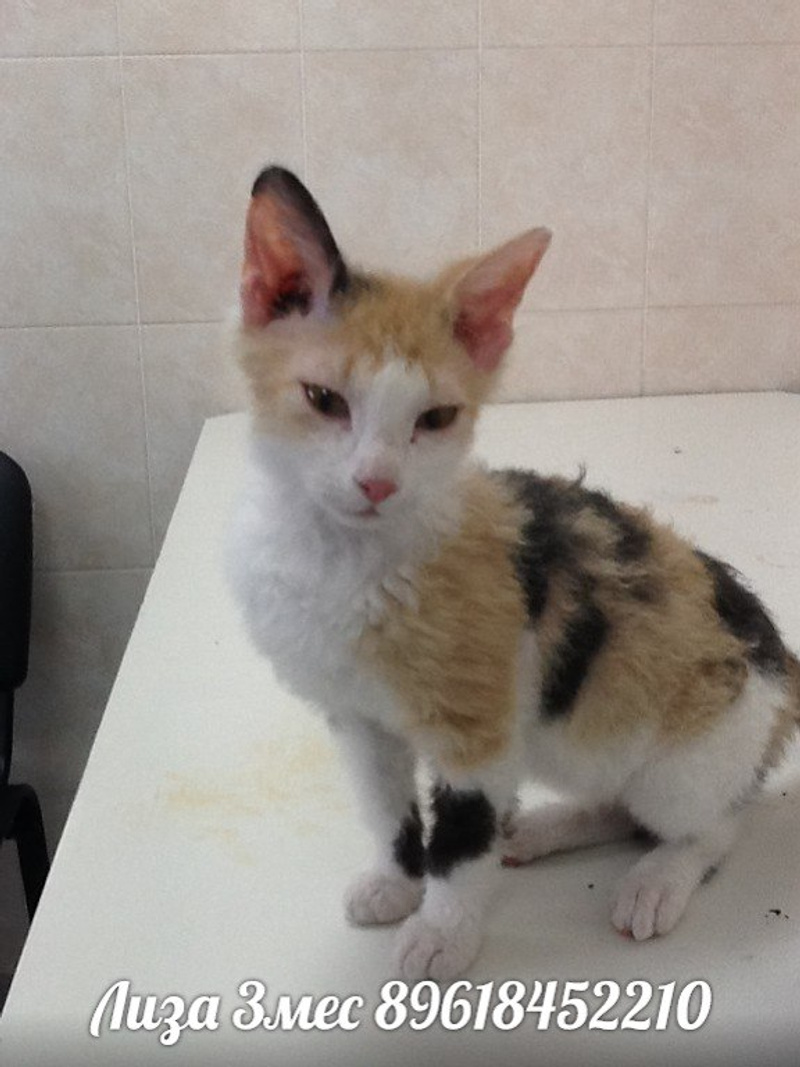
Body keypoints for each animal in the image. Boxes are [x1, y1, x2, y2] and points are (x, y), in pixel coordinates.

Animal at [226, 165, 800, 982]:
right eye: (324, 400)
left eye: (435, 419)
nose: (376, 483)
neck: (349, 559)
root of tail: (779, 659)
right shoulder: (359, 720)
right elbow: (386, 805)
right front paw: (396, 881)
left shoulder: (482, 729)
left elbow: (461, 839)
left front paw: (442, 932)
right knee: (622, 804)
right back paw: (543, 828)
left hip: (691, 758)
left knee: (709, 825)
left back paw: (658, 877)